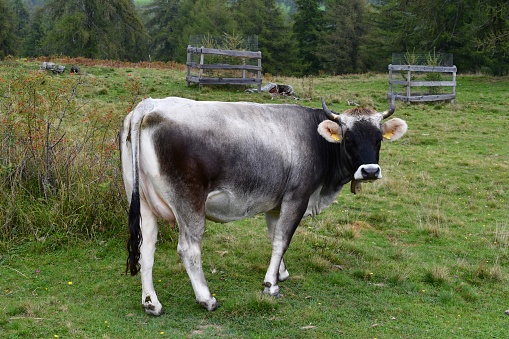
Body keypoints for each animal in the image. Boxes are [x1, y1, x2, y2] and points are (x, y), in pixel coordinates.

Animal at [120, 95, 408, 316]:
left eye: (378, 139)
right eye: (349, 140)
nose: (369, 171)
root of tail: (149, 106)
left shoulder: (276, 203)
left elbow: (273, 235)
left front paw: (281, 272)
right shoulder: (297, 197)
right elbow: (282, 239)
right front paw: (271, 284)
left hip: (143, 202)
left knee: (146, 250)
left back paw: (151, 303)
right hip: (189, 202)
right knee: (189, 249)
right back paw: (206, 299)